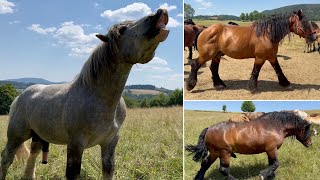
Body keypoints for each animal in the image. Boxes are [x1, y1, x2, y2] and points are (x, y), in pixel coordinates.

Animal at [0, 8, 170, 180]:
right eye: (122, 30)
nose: (158, 13)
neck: (98, 98)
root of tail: (19, 97)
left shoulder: (110, 142)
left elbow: (108, 170)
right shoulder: (76, 144)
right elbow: (72, 173)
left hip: (39, 135)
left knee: (33, 154)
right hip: (16, 135)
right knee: (6, 158)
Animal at [186, 9, 316, 91]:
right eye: (304, 23)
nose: (314, 37)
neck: (267, 34)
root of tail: (205, 30)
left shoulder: (272, 56)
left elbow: (278, 69)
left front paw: (285, 83)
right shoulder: (260, 57)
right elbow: (256, 71)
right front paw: (253, 87)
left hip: (217, 55)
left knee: (213, 69)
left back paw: (219, 85)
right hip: (207, 55)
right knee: (195, 65)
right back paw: (190, 85)